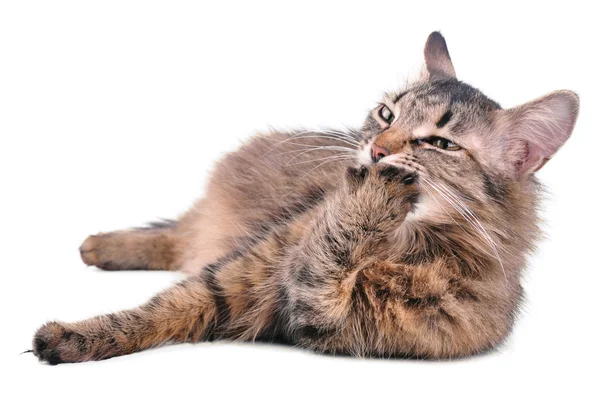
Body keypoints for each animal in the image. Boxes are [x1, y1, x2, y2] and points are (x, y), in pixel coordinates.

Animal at [31, 30, 576, 362]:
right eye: (387, 114)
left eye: (440, 144)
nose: (379, 150)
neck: (391, 242)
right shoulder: (246, 268)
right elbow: (157, 310)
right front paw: (71, 337)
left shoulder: (322, 316)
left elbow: (327, 258)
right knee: (177, 236)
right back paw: (98, 246)